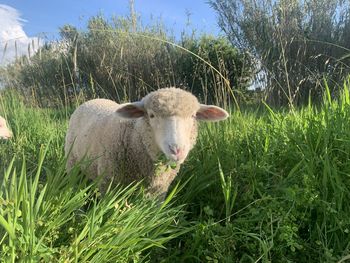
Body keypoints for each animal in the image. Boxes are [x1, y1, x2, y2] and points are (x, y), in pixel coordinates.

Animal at [65, 87, 230, 199]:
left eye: (193, 116)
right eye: (151, 115)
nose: (177, 150)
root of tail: (93, 100)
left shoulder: (159, 190)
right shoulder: (108, 184)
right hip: (72, 163)